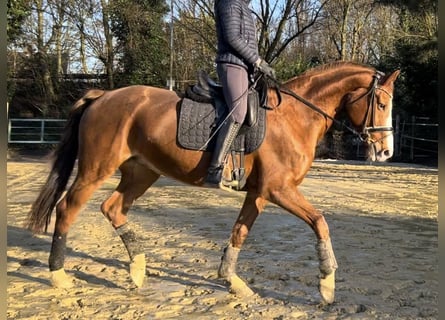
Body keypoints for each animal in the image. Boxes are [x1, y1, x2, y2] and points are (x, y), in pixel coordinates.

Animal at [25, 61, 398, 304]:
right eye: (381, 103)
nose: (386, 151)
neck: (295, 117)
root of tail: (103, 96)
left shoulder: (260, 193)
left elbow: (240, 232)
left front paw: (233, 282)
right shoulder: (279, 189)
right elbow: (320, 221)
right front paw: (327, 285)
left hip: (141, 172)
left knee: (112, 207)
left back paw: (137, 270)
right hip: (96, 169)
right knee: (67, 208)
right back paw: (59, 276)